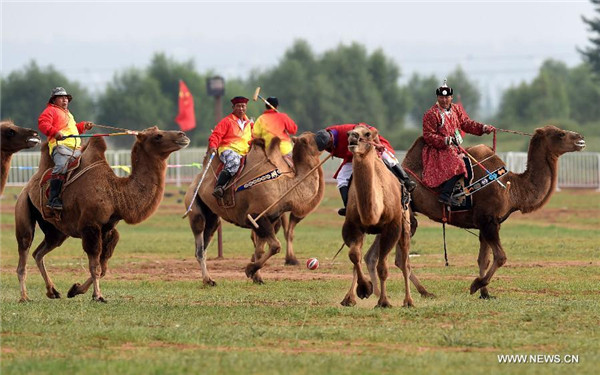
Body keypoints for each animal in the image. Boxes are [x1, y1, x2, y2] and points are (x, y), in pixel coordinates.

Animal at [15, 127, 190, 302]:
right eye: (158, 136)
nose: (183, 135)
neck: (115, 193)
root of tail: (28, 186)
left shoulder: (108, 229)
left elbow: (103, 266)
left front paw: (75, 289)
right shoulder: (90, 226)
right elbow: (95, 265)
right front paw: (97, 295)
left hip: (56, 231)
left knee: (39, 253)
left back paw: (52, 291)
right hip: (24, 208)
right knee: (24, 250)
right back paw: (24, 296)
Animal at [184, 132, 326, 284]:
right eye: (313, 138)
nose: (327, 135)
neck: (285, 187)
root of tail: (197, 179)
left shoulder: (269, 219)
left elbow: (260, 250)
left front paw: (257, 277)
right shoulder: (255, 215)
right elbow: (275, 246)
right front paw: (250, 270)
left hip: (212, 215)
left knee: (207, 238)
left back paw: (209, 279)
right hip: (194, 206)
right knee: (199, 245)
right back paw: (208, 280)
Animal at [342, 126, 418, 308]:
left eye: (367, 134)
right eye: (349, 133)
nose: (353, 136)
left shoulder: (392, 227)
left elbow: (382, 266)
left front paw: (383, 301)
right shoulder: (353, 226)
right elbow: (354, 256)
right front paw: (363, 289)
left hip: (405, 226)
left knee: (405, 262)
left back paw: (408, 301)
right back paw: (351, 297)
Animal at [400, 125, 584, 298]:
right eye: (560, 134)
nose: (580, 139)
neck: (512, 188)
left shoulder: (487, 224)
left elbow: (484, 259)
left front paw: (485, 294)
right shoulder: (488, 221)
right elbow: (501, 257)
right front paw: (476, 285)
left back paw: (424, 292)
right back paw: (422, 292)